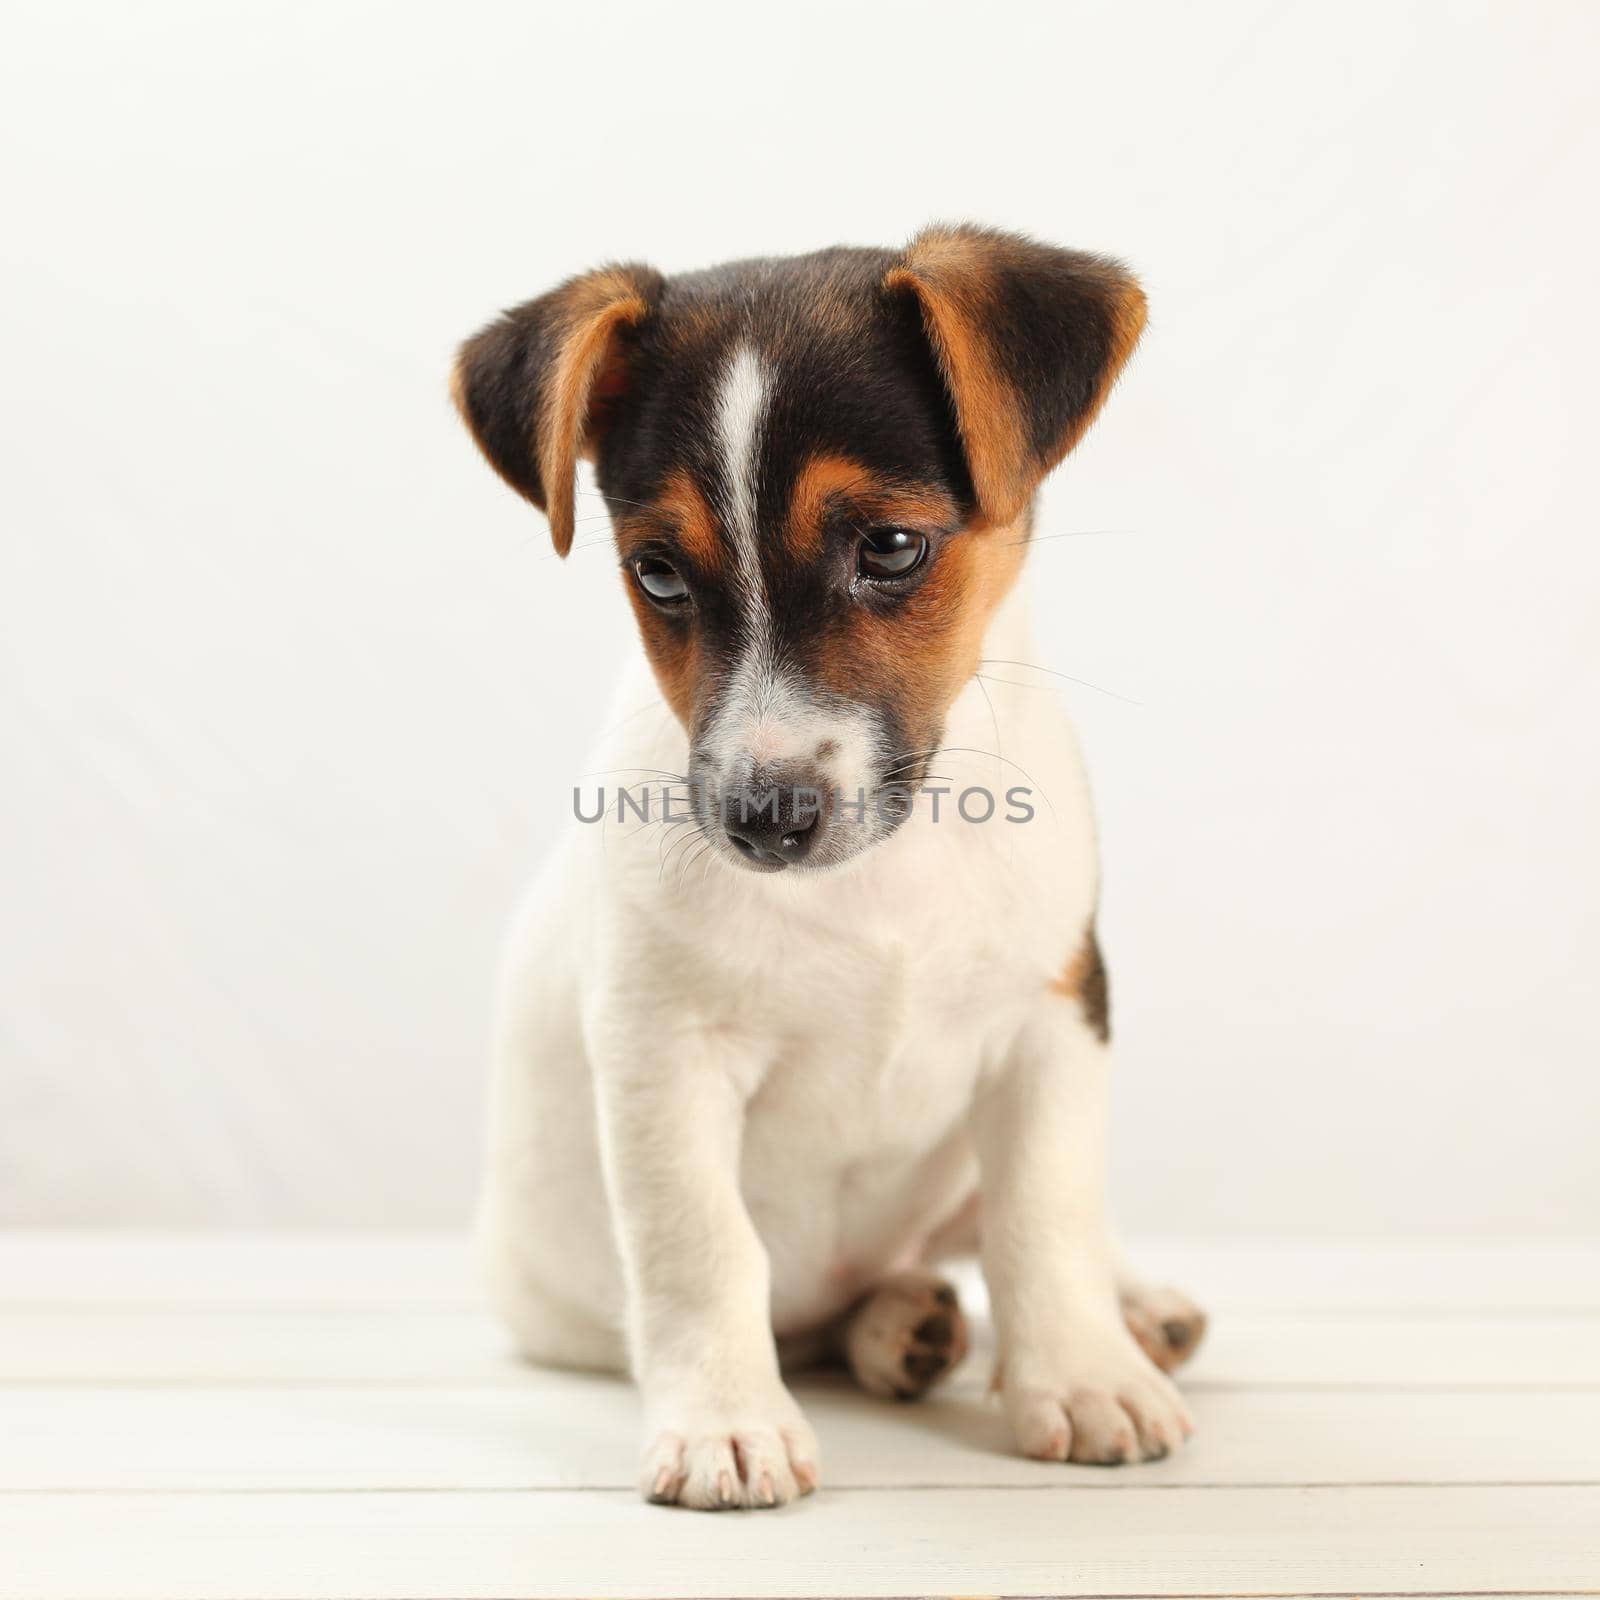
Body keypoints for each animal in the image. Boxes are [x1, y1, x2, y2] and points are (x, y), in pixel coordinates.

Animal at [451, 225, 1203, 1510]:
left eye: (891, 546)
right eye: (657, 572)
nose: (764, 819)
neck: (879, 877)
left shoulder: (1053, 1017)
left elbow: (1044, 1213)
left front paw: (1081, 1373)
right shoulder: (663, 1054)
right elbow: (701, 1246)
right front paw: (724, 1423)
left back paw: (1119, 1311)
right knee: (820, 1313)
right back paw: (898, 1328)